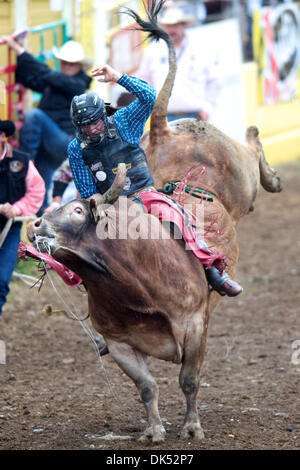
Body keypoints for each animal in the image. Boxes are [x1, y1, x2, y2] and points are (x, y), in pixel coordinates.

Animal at [24, 0, 280, 442]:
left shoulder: (195, 324)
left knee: (252, 143)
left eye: (77, 210)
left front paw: (191, 426)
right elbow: (147, 386)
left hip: (242, 178)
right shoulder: (119, 343)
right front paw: (154, 429)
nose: (35, 226)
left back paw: (273, 174)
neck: (129, 278)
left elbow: (189, 379)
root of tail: (160, 129)